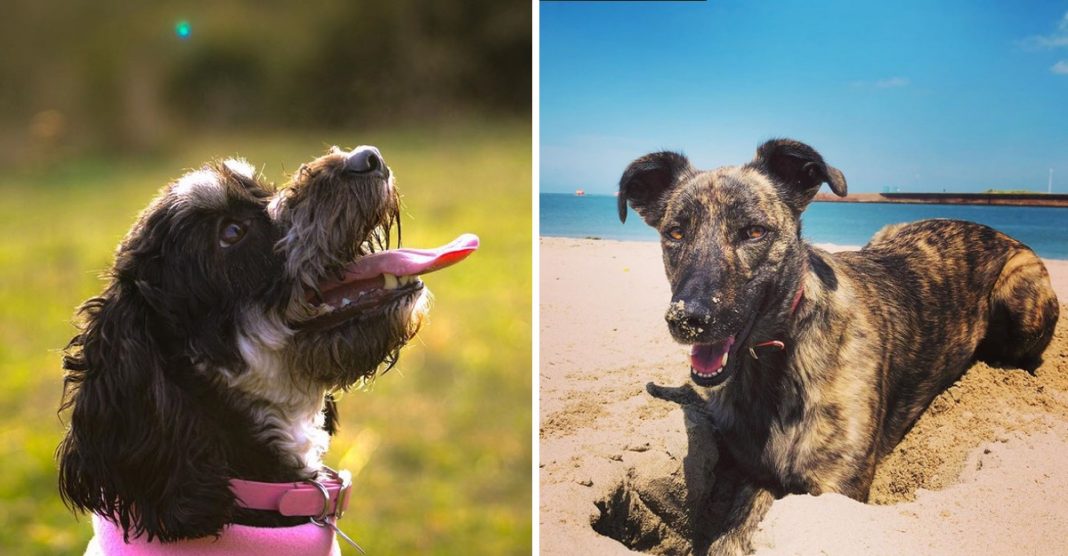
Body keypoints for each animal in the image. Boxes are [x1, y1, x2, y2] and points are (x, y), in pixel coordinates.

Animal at [619, 138, 1059, 550]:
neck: (776, 359)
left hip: (1021, 297)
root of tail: (990, 227)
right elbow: (731, 532)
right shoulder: (752, 471)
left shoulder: (832, 489)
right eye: (675, 233)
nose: (687, 319)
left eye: (754, 231)